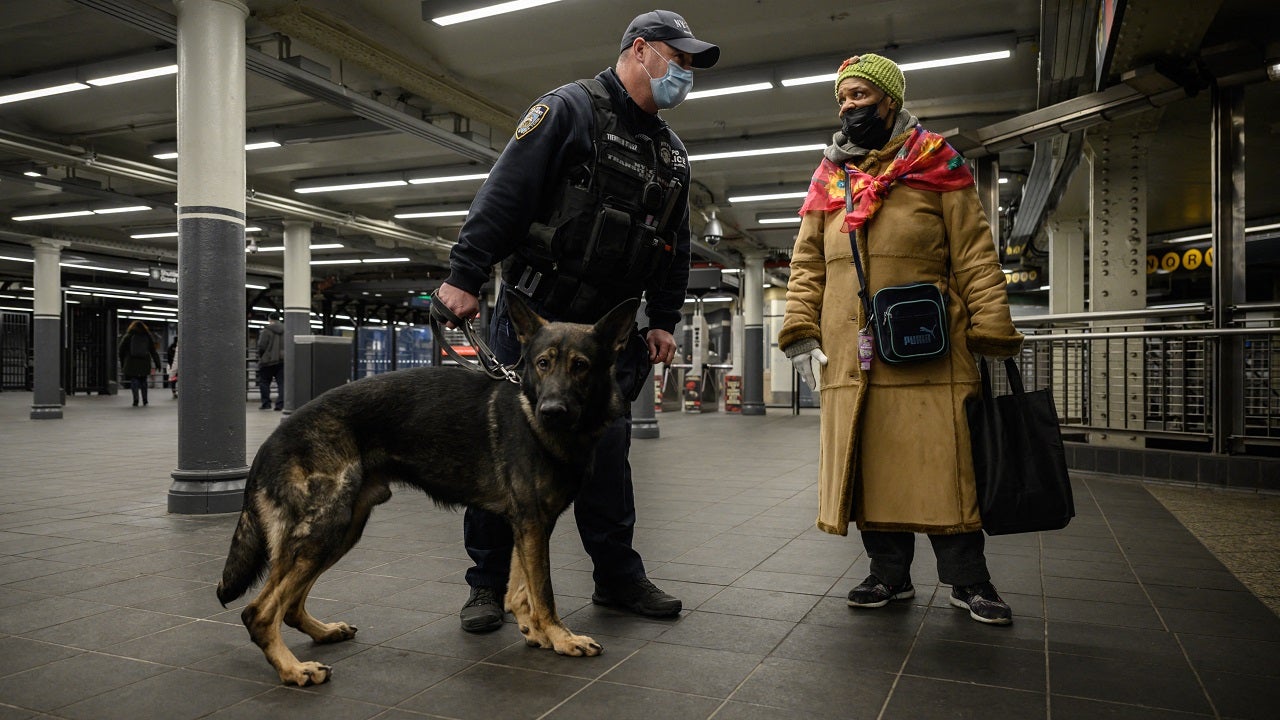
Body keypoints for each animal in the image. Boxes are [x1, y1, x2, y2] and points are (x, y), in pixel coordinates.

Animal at [220, 295, 640, 681]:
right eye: (542, 363)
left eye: (581, 366)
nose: (551, 411)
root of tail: (270, 441)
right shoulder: (533, 524)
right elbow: (544, 592)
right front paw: (562, 637)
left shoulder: (529, 525)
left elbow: (522, 590)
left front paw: (537, 632)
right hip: (323, 530)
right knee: (258, 612)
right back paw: (293, 669)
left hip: (341, 530)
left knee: (288, 605)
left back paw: (322, 633)